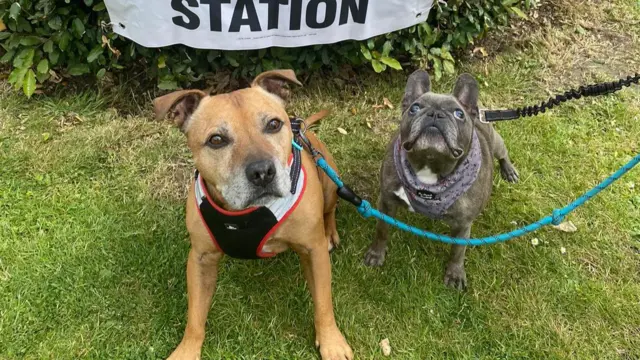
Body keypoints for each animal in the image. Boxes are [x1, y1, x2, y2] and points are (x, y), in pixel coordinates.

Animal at [154, 70, 352, 360]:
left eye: (273, 124)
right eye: (216, 140)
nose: (262, 172)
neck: (247, 213)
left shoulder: (313, 251)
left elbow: (323, 303)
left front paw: (332, 343)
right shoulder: (201, 259)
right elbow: (195, 316)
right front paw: (187, 350)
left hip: (329, 183)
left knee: (330, 210)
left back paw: (330, 232)